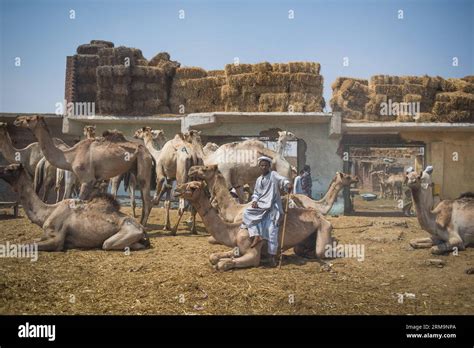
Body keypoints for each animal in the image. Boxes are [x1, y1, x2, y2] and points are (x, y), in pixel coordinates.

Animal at [0, 164, 150, 251]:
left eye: (10, 169)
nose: (0, 169)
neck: (48, 212)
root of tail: (142, 228)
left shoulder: (57, 239)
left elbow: (27, 246)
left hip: (126, 233)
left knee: (107, 244)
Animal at [14, 115, 152, 226]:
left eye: (28, 119)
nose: (17, 120)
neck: (71, 156)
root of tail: (147, 152)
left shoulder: (87, 180)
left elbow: (79, 203)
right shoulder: (92, 182)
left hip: (143, 164)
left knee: (147, 198)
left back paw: (143, 226)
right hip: (134, 167)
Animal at [174, 181, 334, 270]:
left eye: (193, 187)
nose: (176, 190)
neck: (235, 229)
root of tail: (320, 216)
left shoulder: (252, 253)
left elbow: (223, 263)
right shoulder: (237, 247)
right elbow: (213, 256)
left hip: (324, 227)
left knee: (321, 252)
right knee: (300, 249)